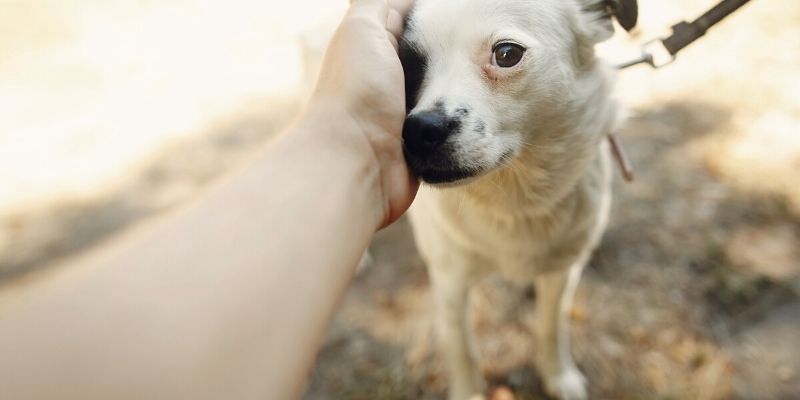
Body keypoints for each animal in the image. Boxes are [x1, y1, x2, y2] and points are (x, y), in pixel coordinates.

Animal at [400, 1, 636, 398]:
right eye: (405, 63)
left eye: (507, 54)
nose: (419, 131)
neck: (514, 199)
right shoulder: (449, 281)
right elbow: (461, 346)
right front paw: (468, 391)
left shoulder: (562, 272)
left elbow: (551, 325)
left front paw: (558, 375)